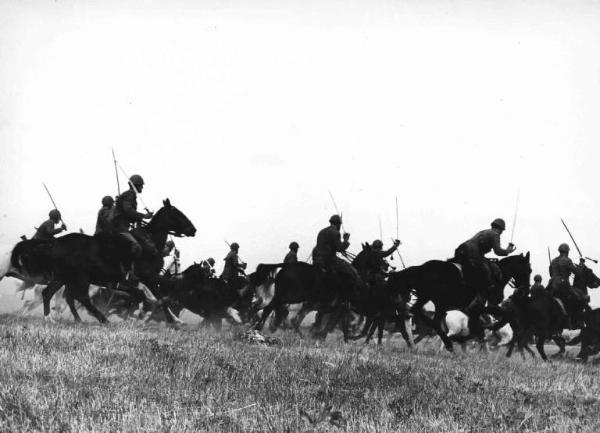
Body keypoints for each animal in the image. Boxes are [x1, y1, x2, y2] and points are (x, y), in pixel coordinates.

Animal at [386, 253, 532, 352]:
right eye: (528, 270)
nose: (524, 290)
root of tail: (422, 268)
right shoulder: (478, 308)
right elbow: (499, 317)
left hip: (427, 298)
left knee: (416, 314)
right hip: (439, 302)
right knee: (431, 321)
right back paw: (447, 343)